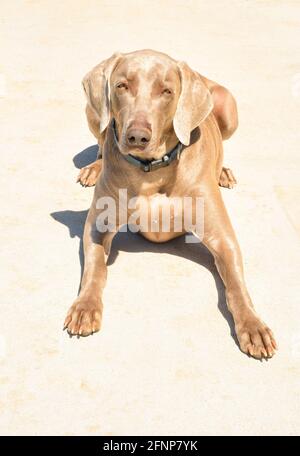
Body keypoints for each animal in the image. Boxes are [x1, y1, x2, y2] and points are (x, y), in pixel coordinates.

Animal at [64, 48, 278, 358]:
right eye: (122, 85)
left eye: (166, 91)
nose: (137, 136)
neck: (152, 170)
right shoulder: (96, 227)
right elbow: (95, 269)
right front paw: (85, 307)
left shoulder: (223, 238)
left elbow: (236, 286)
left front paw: (253, 325)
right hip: (93, 114)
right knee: (103, 138)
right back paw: (94, 167)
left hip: (228, 105)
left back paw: (223, 171)